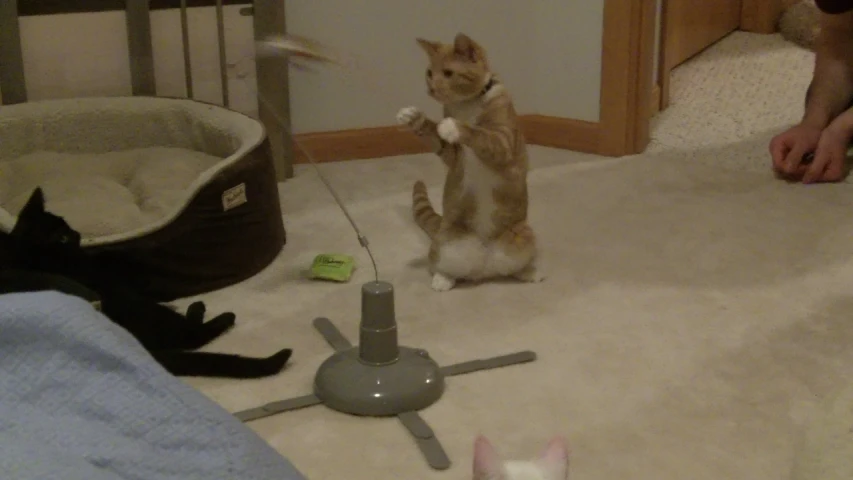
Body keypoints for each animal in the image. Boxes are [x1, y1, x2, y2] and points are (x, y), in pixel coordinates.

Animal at [0, 188, 292, 378]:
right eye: (61, 236)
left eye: (65, 224)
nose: (77, 233)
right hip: (135, 304)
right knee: (189, 336)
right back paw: (214, 314)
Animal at [394, 32, 544, 292]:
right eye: (429, 72)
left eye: (448, 73)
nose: (431, 88)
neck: (466, 104)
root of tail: (485, 268)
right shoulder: (453, 156)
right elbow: (433, 131)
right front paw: (415, 118)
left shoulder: (503, 142)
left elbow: (479, 133)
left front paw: (456, 126)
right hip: (446, 242)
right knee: (445, 266)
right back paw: (443, 279)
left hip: (523, 235)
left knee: (511, 269)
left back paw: (529, 272)